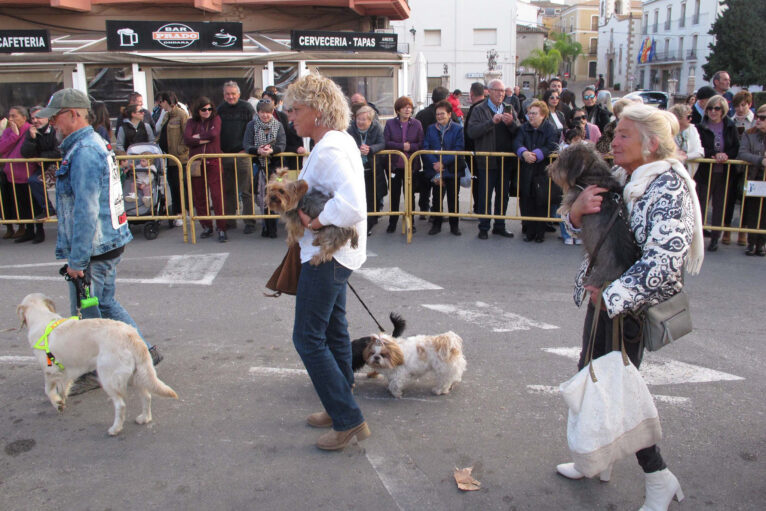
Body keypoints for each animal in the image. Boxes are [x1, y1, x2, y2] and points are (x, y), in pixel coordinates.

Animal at [17, 296, 178, 436]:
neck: (41, 317)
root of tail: (132, 336)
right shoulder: (66, 371)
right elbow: (63, 387)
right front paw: (61, 400)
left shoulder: (50, 370)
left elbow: (48, 390)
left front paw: (57, 403)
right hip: (137, 375)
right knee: (147, 396)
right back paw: (144, 418)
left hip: (108, 377)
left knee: (121, 405)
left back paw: (115, 429)